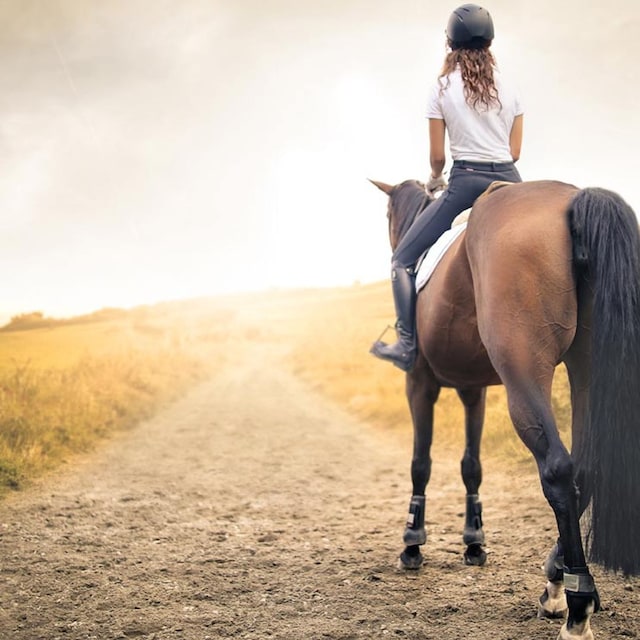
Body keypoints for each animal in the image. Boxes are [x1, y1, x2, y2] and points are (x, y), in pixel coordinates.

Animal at [370, 179, 640, 640]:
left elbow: (421, 463)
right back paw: (556, 581)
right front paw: (473, 540)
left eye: (389, 215)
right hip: (587, 363)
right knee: (586, 467)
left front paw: (413, 540)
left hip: (524, 370)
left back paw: (576, 606)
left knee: (558, 469)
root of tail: (573, 198)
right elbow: (471, 465)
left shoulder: (419, 384)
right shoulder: (473, 389)